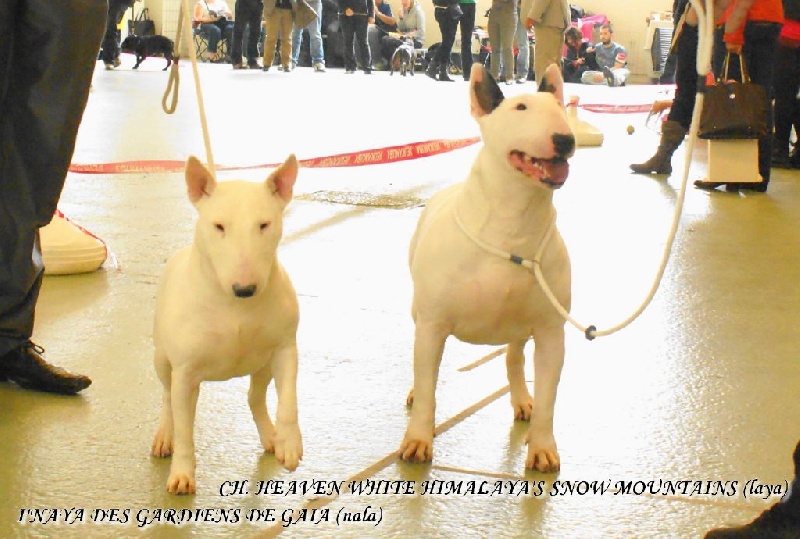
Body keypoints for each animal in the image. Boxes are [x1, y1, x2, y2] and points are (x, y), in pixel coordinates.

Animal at [150, 155, 303, 495]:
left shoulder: (285, 347)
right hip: (163, 360)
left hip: (262, 364)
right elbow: (185, 429)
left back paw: (271, 436)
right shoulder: (185, 373)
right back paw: (165, 435)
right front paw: (182, 474)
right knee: (167, 397)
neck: (235, 308)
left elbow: (288, 398)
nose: (244, 289)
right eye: (219, 226)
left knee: (255, 396)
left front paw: (289, 443)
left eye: (264, 224)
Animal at [399, 63, 576, 473]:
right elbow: (428, 383)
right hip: (419, 315)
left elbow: (549, 397)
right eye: (520, 108)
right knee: (423, 371)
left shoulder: (551, 333)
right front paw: (418, 440)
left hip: (520, 329)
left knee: (513, 357)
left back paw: (522, 399)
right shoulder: (432, 325)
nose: (565, 140)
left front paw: (542, 448)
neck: (512, 225)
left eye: (559, 108)